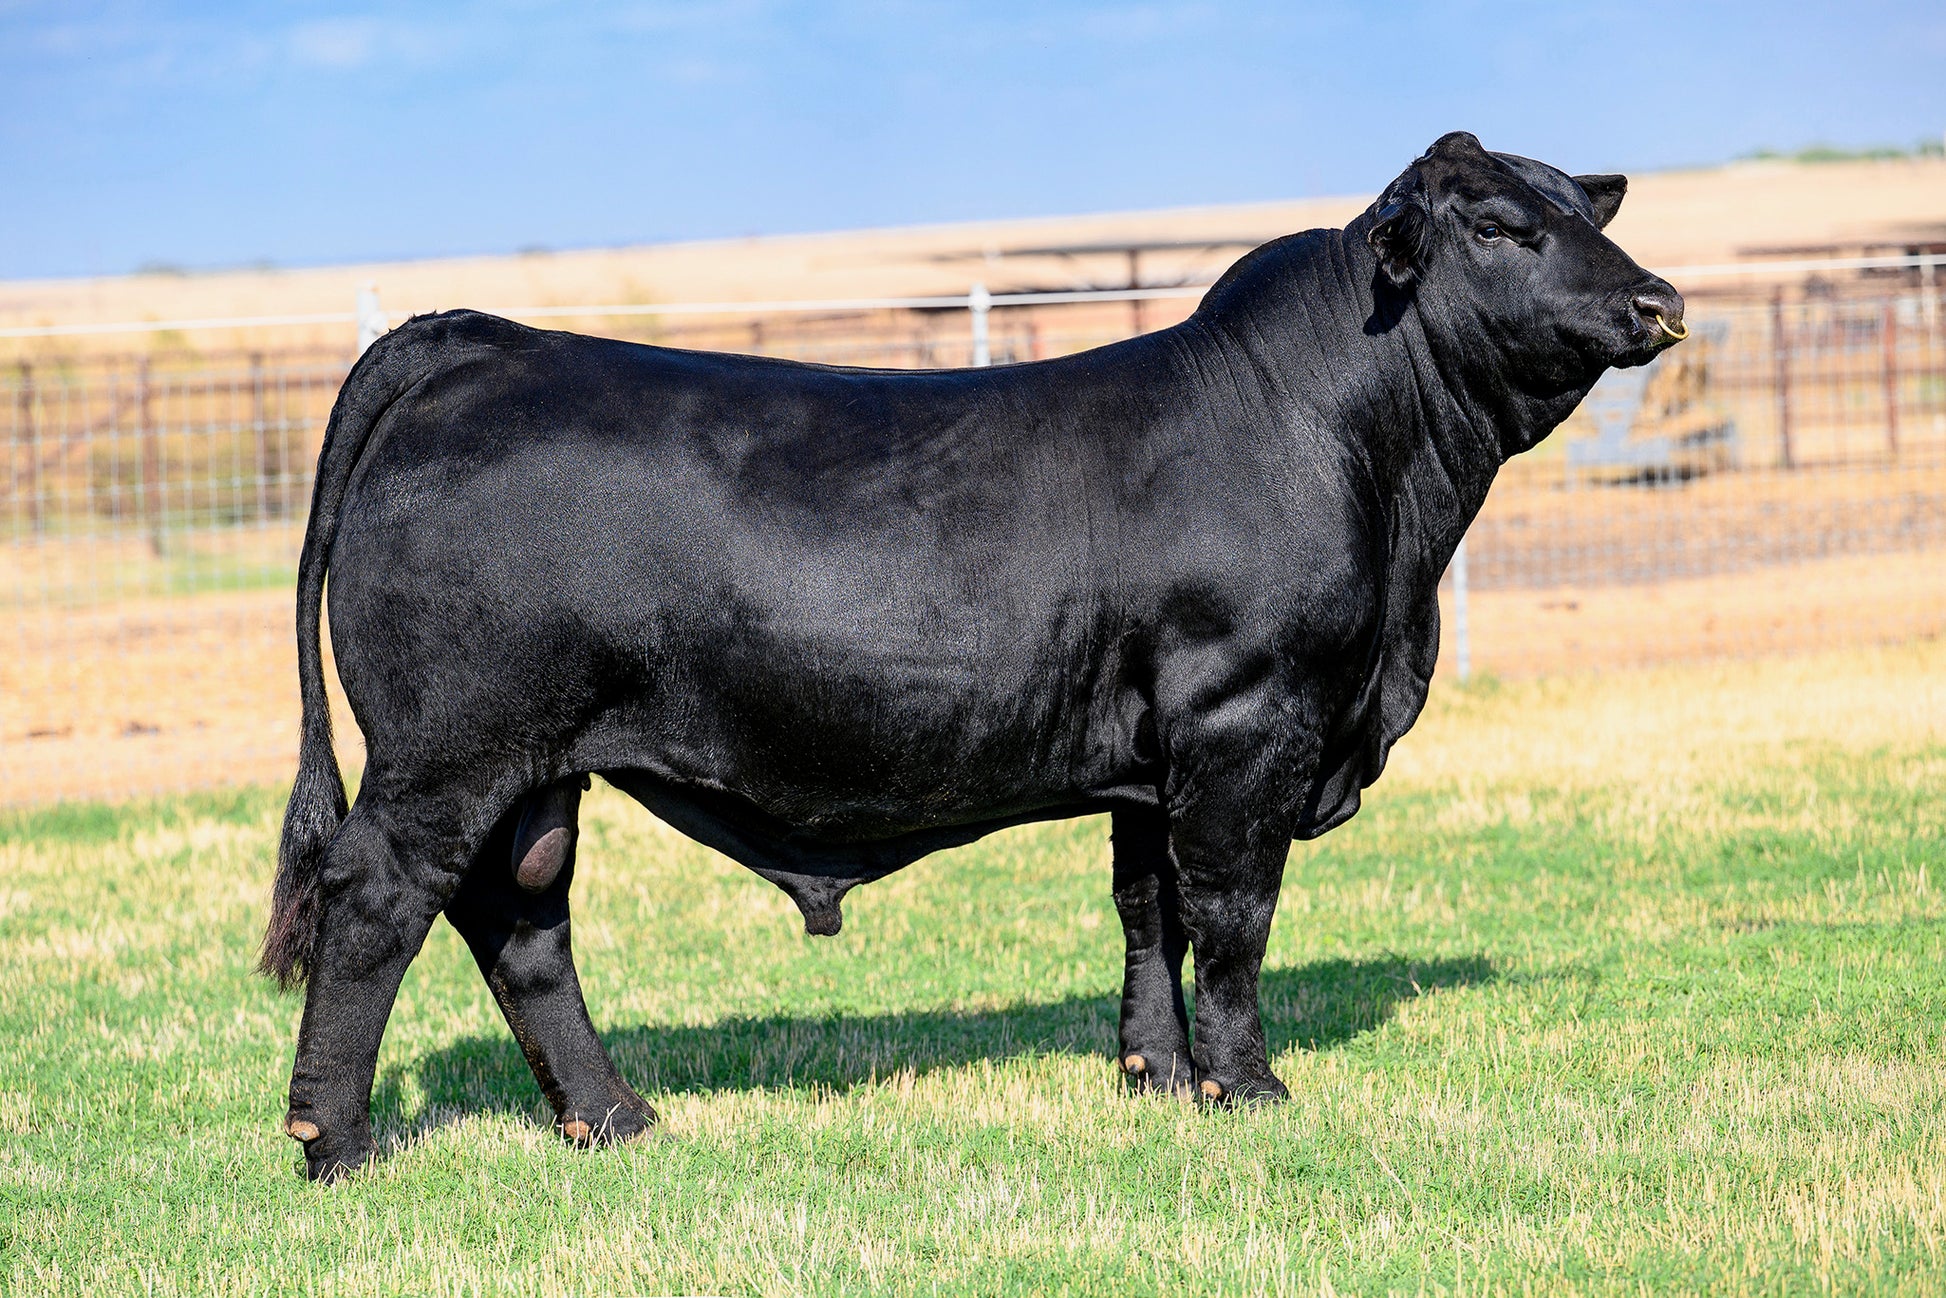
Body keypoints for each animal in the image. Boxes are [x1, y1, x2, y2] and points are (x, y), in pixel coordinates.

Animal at [263, 132, 1684, 1180]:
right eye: (1494, 226)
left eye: (1584, 207)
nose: (1655, 299)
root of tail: (483, 340)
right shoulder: (1246, 719)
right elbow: (1232, 915)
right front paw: (1246, 1086)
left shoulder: (1152, 755)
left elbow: (1148, 908)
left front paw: (1156, 1075)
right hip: (452, 744)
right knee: (378, 894)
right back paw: (336, 1141)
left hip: (535, 766)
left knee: (521, 918)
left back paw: (611, 1117)